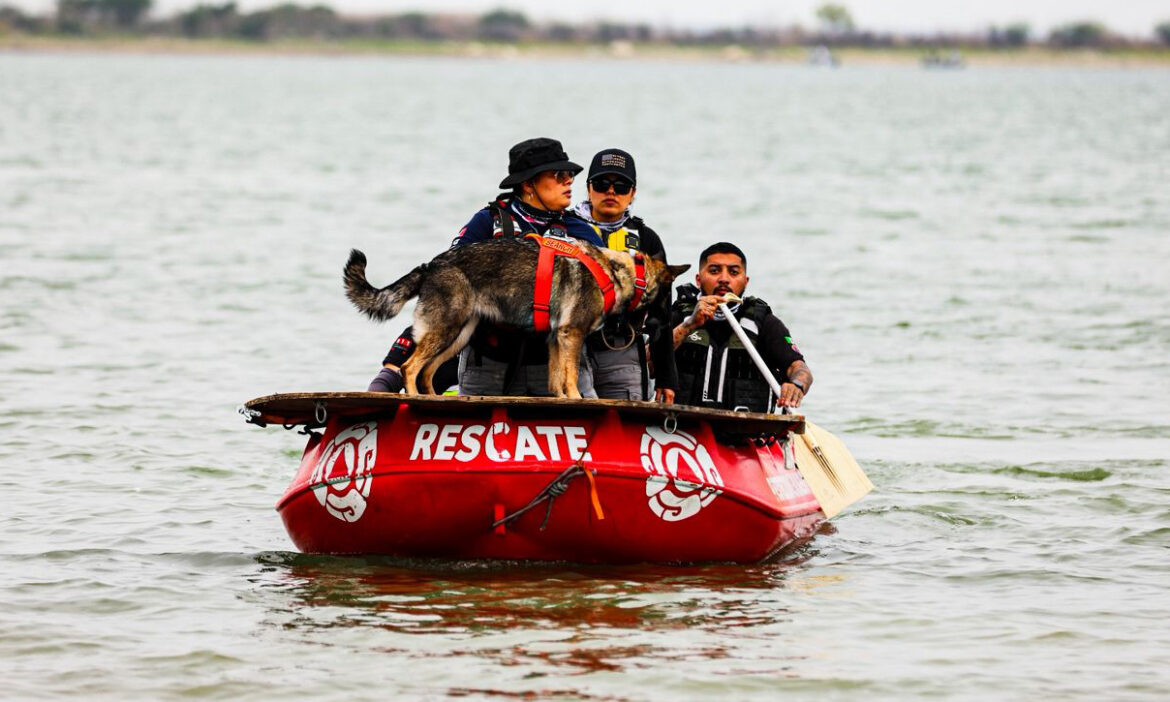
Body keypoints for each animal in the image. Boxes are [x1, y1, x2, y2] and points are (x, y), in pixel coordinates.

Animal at [344, 238, 689, 398]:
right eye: (667, 294)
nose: (661, 327)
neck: (619, 272)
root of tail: (431, 265)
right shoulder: (571, 334)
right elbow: (571, 377)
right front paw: (577, 397)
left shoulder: (556, 339)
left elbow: (556, 378)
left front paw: (562, 399)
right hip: (446, 329)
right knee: (410, 367)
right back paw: (416, 398)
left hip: (459, 335)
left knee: (427, 371)